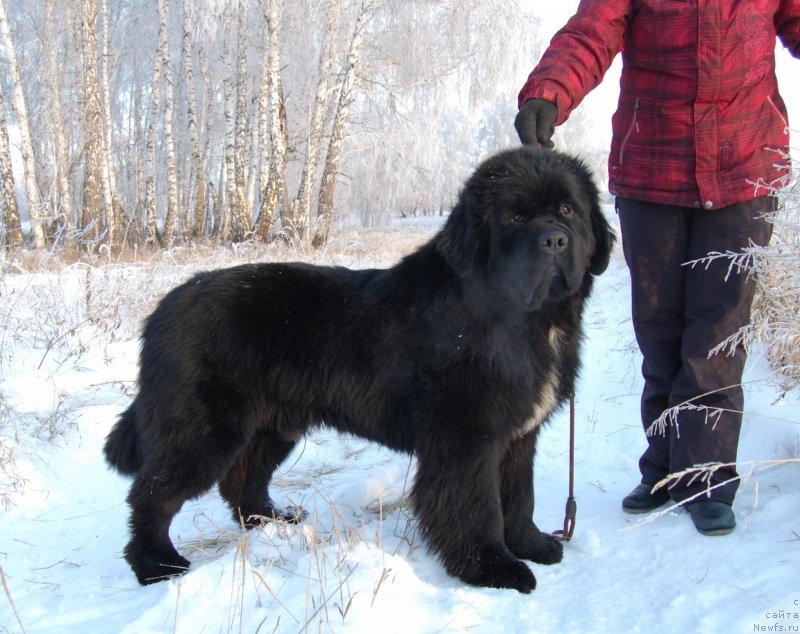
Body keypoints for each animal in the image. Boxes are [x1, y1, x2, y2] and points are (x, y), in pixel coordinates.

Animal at [106, 146, 616, 592]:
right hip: (201, 429)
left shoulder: (517, 435)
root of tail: (166, 305)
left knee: (242, 479)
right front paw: (494, 569)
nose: (555, 240)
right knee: (151, 493)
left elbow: (519, 495)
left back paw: (271, 521)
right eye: (515, 217)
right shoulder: (468, 439)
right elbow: (478, 508)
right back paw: (156, 564)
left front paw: (532, 545)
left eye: (567, 210)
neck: (529, 321)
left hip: (272, 424)